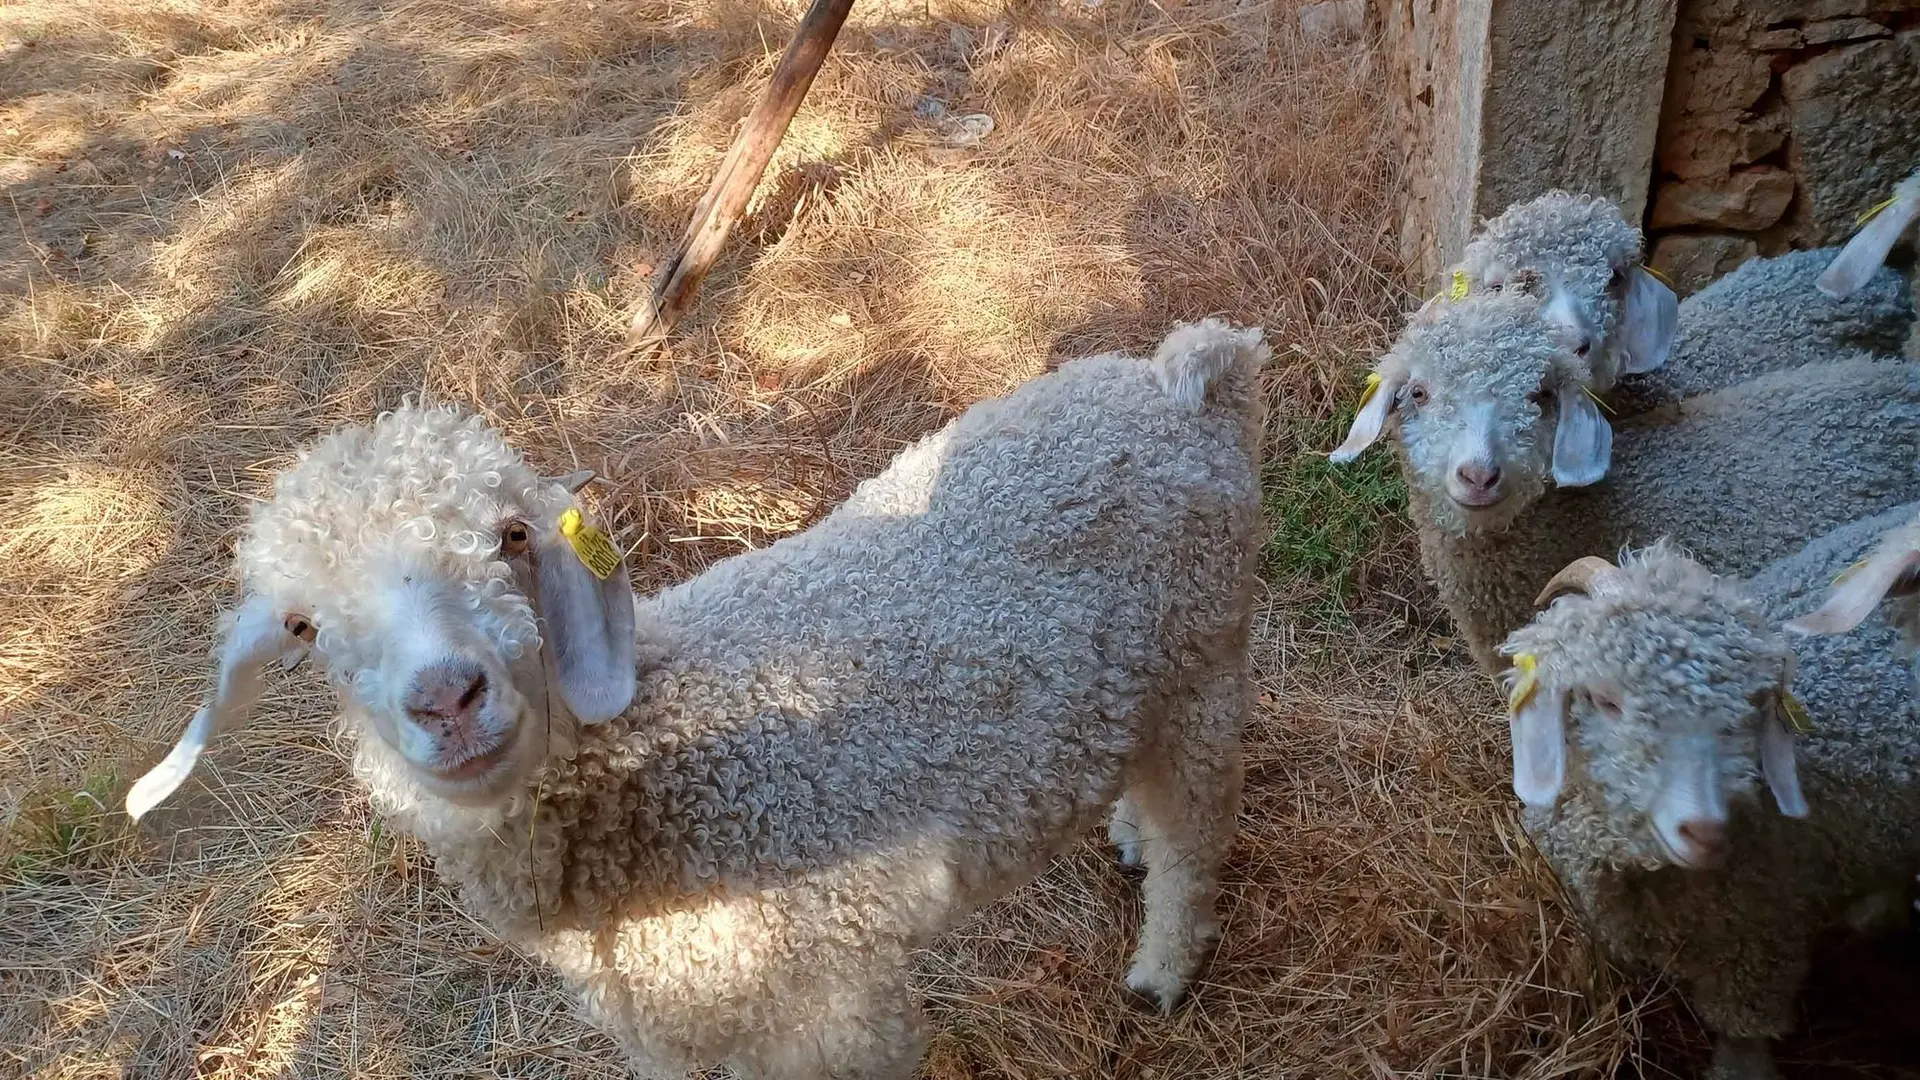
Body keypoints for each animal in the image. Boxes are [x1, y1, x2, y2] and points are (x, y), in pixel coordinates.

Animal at [123, 319, 1274, 1076]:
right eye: (302, 627)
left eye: (513, 537)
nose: (449, 698)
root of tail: (1184, 378)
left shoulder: (841, 1014)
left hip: (1207, 662)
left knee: (1197, 836)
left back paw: (1162, 970)